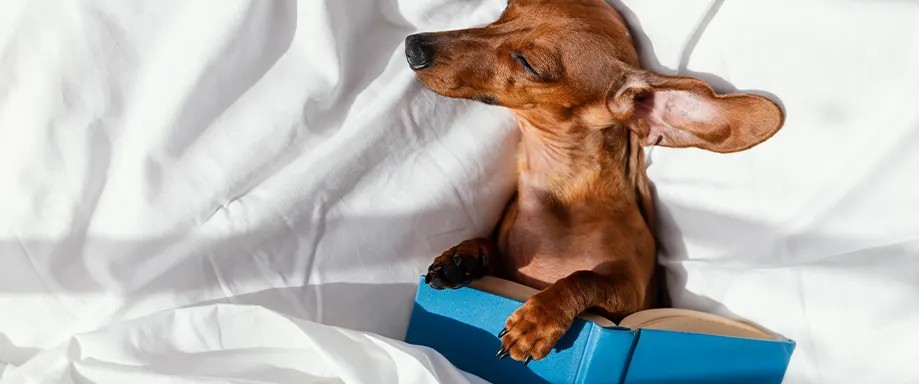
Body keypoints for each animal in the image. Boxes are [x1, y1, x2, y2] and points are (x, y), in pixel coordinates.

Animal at [402, 0, 784, 366]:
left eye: (528, 64)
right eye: (505, 10)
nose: (413, 47)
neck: (560, 195)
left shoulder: (630, 296)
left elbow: (584, 277)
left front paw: (538, 320)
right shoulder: (509, 271)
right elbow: (488, 246)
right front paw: (462, 256)